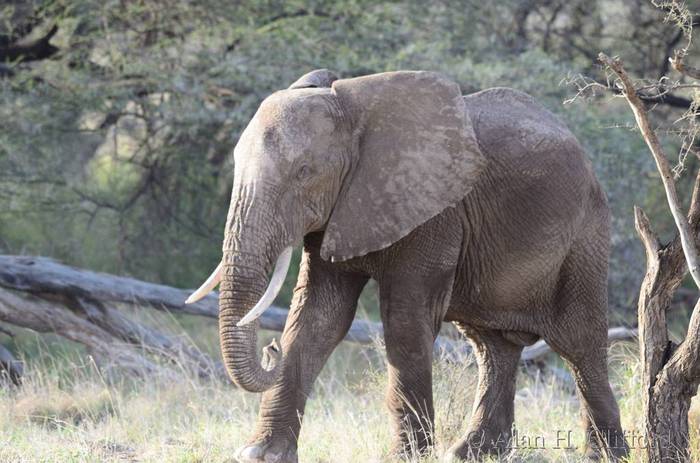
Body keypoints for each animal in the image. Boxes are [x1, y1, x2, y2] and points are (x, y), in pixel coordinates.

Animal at [186, 69, 628, 462]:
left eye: (304, 172)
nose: (269, 350)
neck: (352, 112)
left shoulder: (434, 211)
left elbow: (403, 321)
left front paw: (406, 457)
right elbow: (318, 318)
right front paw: (261, 455)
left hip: (585, 235)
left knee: (579, 342)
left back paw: (606, 455)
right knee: (492, 346)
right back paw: (471, 454)